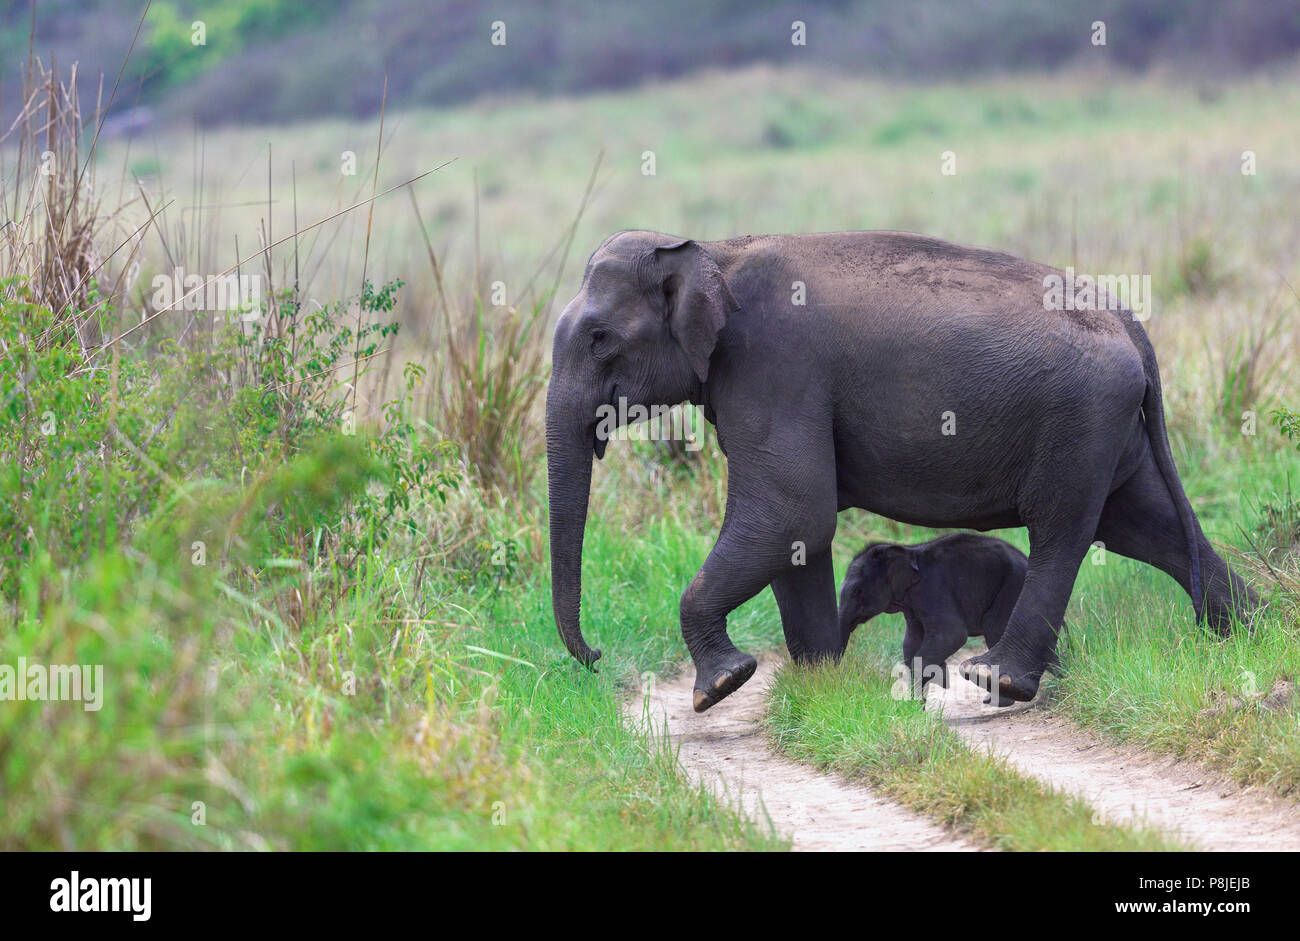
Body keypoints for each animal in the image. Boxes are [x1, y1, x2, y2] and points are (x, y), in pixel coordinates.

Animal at [842, 530, 1024, 696]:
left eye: (857, 591)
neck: (910, 551)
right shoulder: (912, 609)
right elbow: (910, 643)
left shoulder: (933, 590)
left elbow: (951, 635)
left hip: (1011, 587)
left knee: (994, 630)